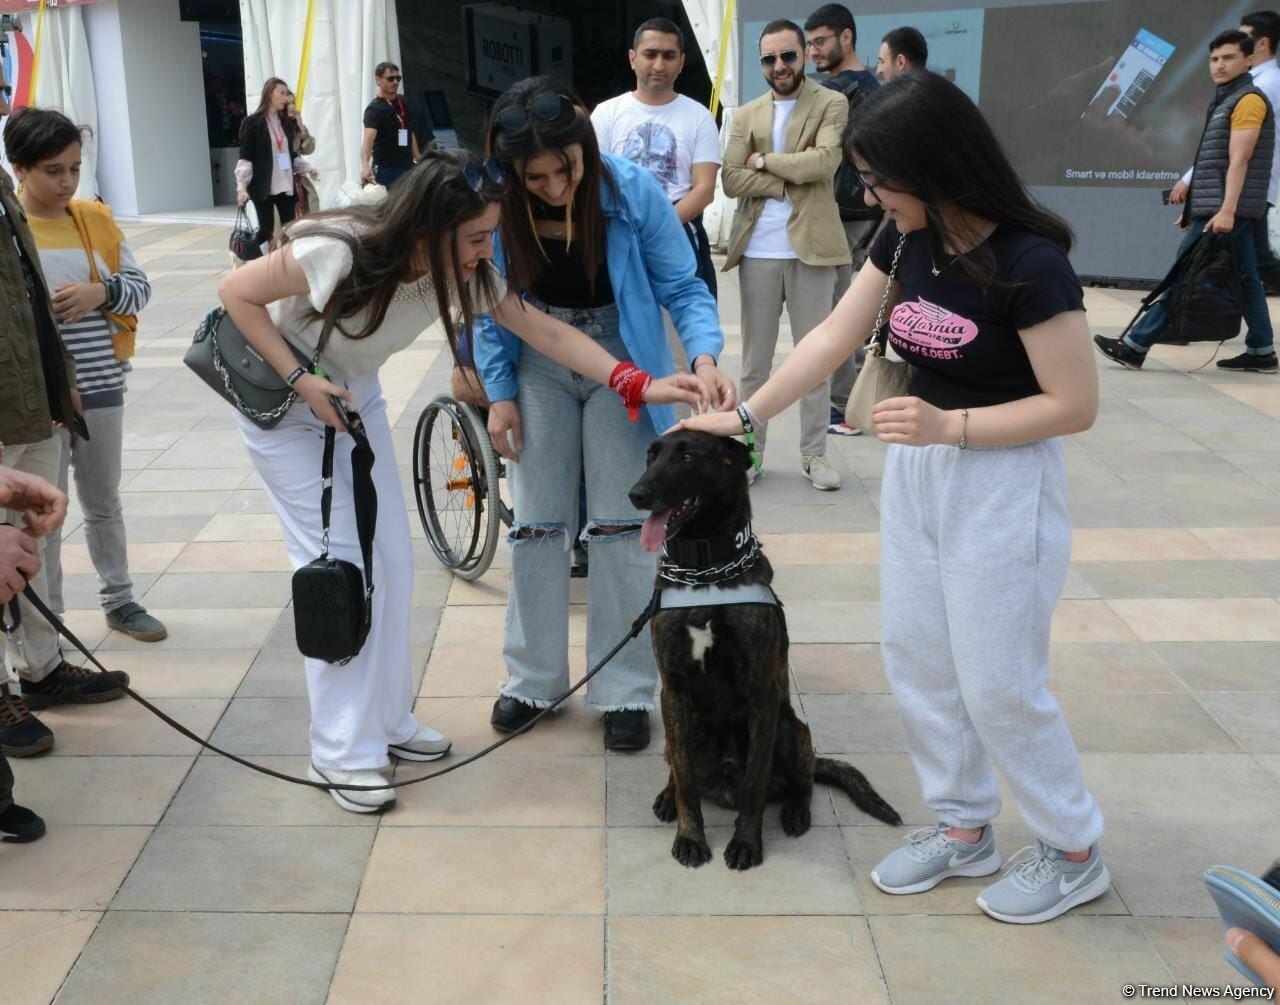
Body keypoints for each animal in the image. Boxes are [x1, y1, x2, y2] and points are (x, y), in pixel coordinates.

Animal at [629, 430, 901, 870]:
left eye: (687, 456)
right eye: (650, 456)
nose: (636, 494)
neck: (705, 573)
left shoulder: (762, 694)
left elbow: (755, 783)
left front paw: (746, 842)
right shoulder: (673, 689)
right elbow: (686, 783)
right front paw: (690, 836)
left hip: (791, 730)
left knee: (803, 780)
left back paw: (796, 811)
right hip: (684, 727)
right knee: (679, 766)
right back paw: (668, 796)